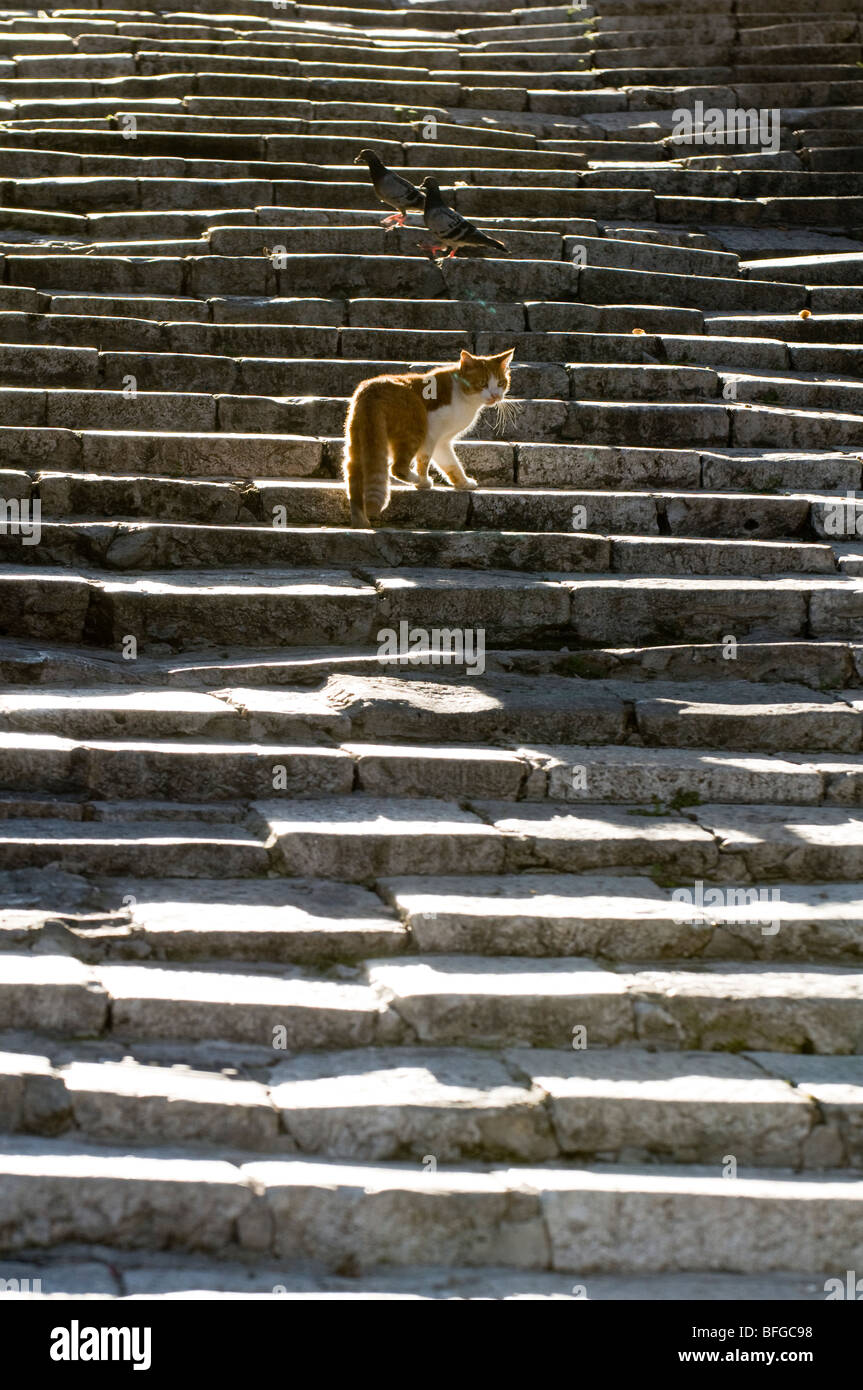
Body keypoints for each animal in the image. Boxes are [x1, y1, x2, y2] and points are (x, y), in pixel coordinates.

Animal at [340, 347, 511, 525]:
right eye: (483, 383)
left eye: (500, 383)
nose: (495, 396)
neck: (462, 395)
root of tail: (372, 389)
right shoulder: (432, 433)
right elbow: (424, 460)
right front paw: (423, 482)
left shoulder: (442, 442)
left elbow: (451, 464)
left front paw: (463, 483)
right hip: (414, 429)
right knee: (397, 467)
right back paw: (416, 479)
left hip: (360, 440)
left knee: (353, 478)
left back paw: (360, 521)